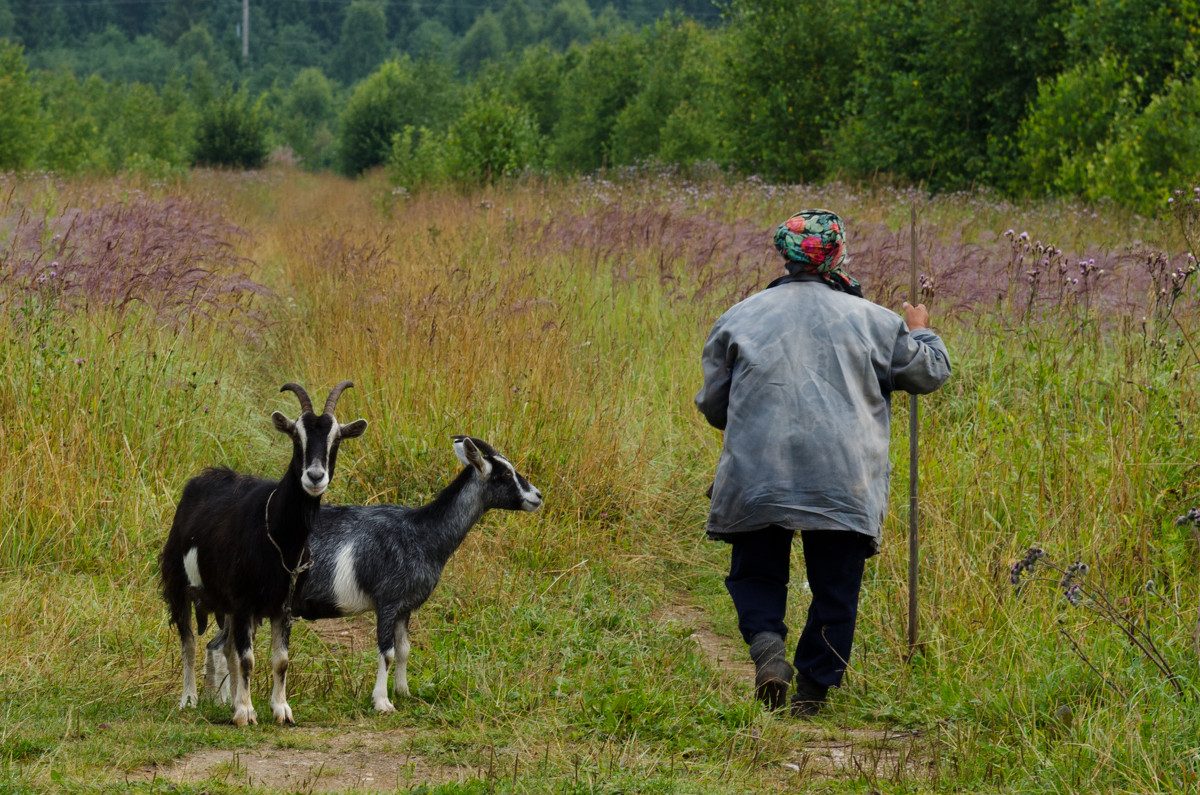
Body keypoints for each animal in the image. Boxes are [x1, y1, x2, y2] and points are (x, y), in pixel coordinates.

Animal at [157, 384, 367, 725]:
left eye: (336, 439)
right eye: (296, 437)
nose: (315, 476)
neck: (281, 538)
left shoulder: (284, 604)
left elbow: (279, 660)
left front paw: (279, 710)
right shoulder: (244, 600)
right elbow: (247, 659)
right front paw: (246, 712)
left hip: (229, 605)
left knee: (225, 647)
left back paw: (228, 701)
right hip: (179, 584)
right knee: (189, 641)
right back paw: (189, 699)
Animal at [207, 437, 544, 715]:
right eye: (504, 475)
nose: (537, 497)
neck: (422, 533)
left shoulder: (405, 607)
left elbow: (405, 650)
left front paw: (404, 692)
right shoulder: (388, 601)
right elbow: (388, 651)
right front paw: (382, 702)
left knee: (219, 645)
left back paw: (221, 700)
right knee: (221, 647)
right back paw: (223, 702)